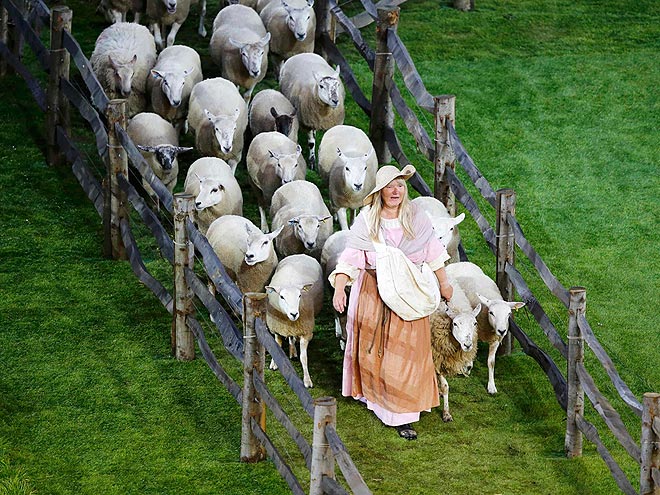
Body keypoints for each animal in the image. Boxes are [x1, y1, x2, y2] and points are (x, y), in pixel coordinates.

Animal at [264, 254, 324, 390]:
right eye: (281, 297)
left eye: (299, 296)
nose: (294, 314)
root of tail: (300, 254)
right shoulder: (277, 329)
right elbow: (277, 347)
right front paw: (274, 363)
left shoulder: (306, 332)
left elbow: (304, 358)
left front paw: (307, 380)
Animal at [428, 280, 480, 424]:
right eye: (455, 324)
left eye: (475, 323)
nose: (468, 345)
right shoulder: (436, 355)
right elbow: (446, 386)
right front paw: (446, 413)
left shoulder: (441, 358)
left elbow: (445, 386)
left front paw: (446, 412)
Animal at [444, 264, 524, 396]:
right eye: (491, 313)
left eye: (509, 314)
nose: (502, 331)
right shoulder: (473, 333)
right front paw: (468, 366)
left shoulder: (496, 340)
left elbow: (491, 362)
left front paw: (491, 386)